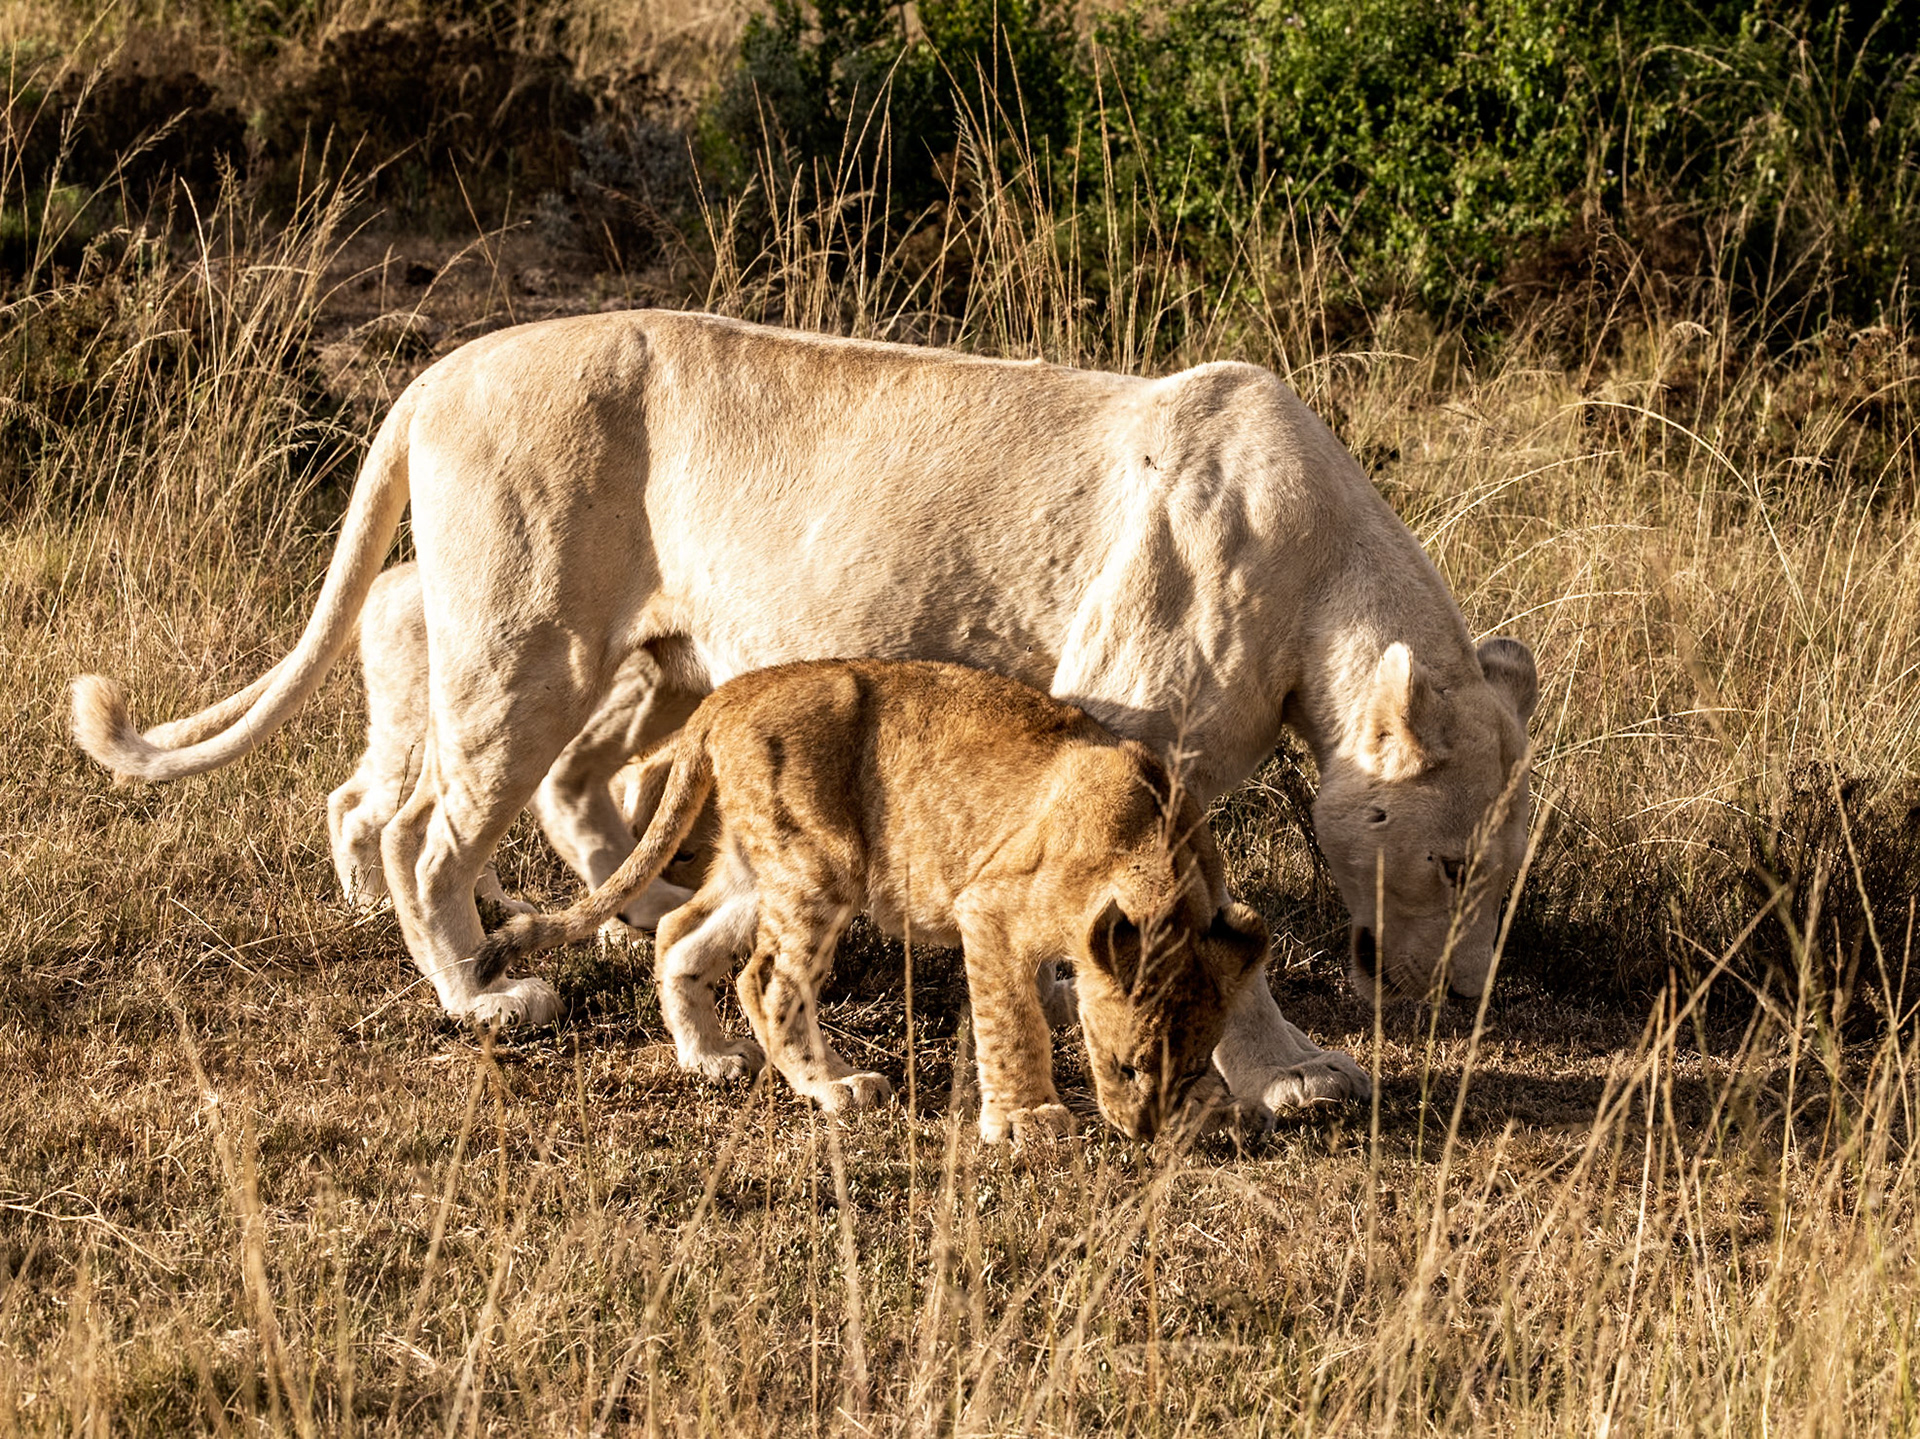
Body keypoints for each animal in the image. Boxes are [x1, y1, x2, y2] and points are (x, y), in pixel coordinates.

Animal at [479, 659, 1267, 1143]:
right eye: (1128, 1065)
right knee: (767, 979)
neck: (1152, 860)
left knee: (680, 929)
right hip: (820, 862)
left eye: (1187, 1067)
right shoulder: (989, 905)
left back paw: (708, 1058)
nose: (1143, 1135)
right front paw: (1027, 1120)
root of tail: (727, 694)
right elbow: (1014, 1023)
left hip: (757, 861)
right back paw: (833, 1088)